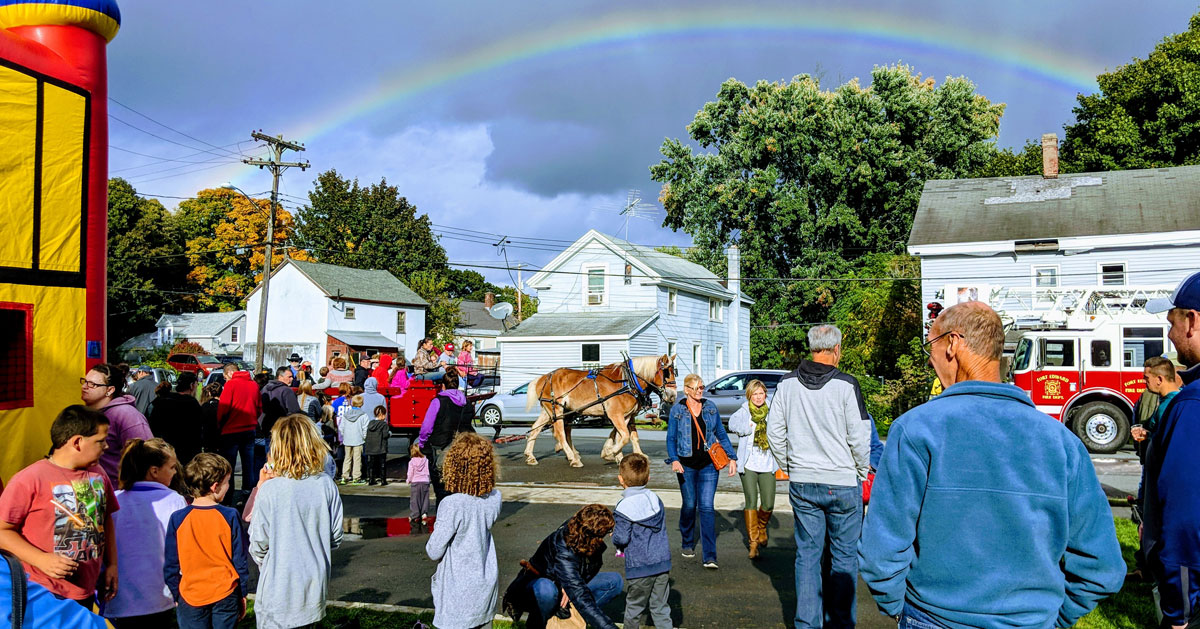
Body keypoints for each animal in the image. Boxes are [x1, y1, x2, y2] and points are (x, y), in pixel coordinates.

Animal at [523, 352, 676, 465]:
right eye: (666, 373)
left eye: (675, 372)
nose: (673, 395)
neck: (627, 381)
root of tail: (543, 378)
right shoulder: (615, 415)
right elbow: (625, 436)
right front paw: (611, 453)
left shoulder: (626, 415)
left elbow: (627, 436)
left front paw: (620, 454)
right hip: (557, 410)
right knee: (560, 433)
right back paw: (572, 457)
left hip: (550, 411)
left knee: (536, 429)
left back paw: (530, 456)